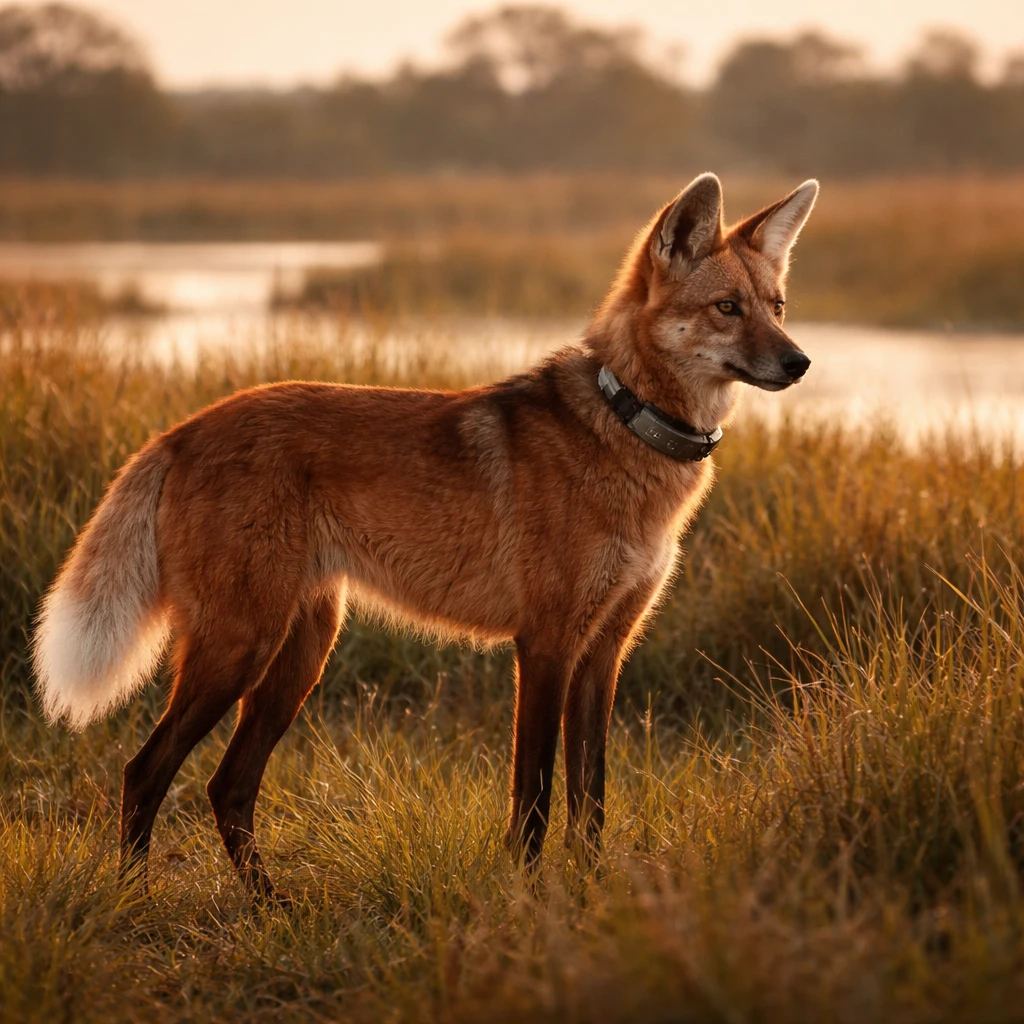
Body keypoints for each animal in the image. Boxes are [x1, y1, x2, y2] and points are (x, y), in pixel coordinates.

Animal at [33, 173, 818, 900]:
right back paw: (136, 897)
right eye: (726, 308)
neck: (625, 425)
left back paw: (270, 907)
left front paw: (592, 896)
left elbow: (589, 801)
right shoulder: (546, 645)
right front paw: (524, 899)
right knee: (146, 770)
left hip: (300, 655)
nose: (800, 362)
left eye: (777, 307)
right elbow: (534, 798)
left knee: (227, 786)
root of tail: (181, 430)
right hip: (241, 648)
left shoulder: (604, 651)